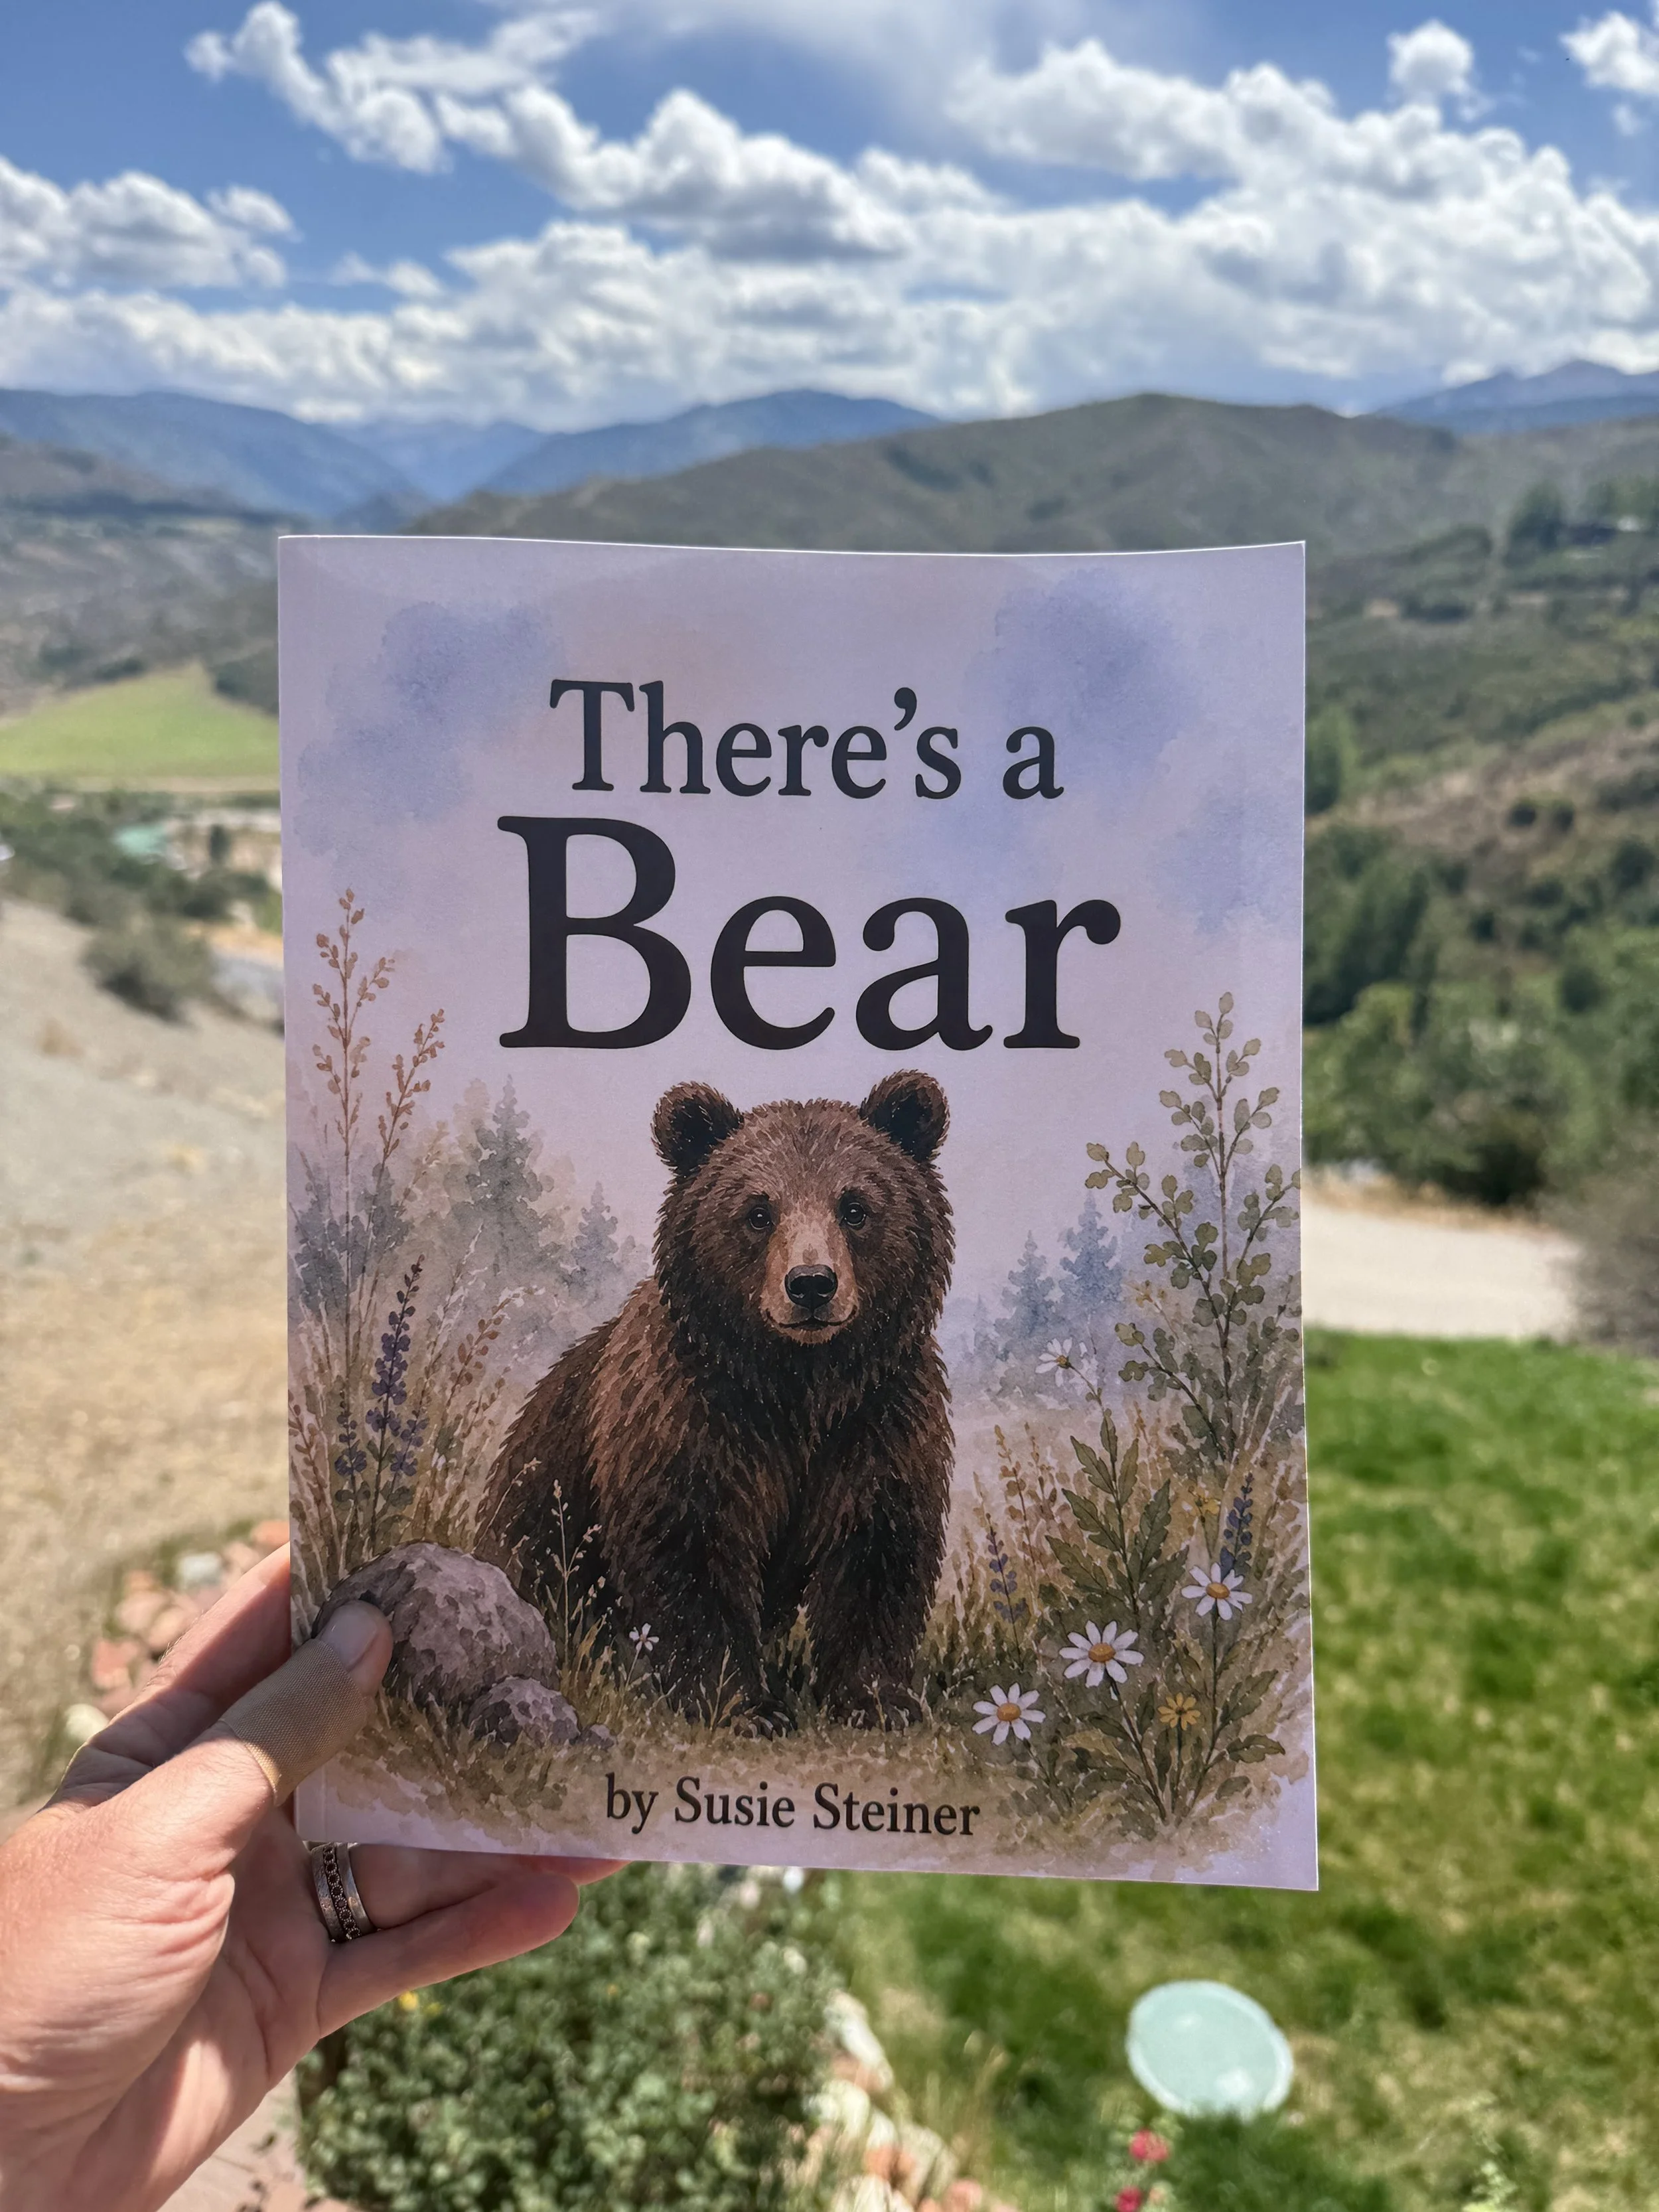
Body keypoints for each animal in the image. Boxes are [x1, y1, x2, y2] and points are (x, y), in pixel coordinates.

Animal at [473, 1068, 954, 1730]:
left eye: (855, 1207)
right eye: (758, 1211)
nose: (811, 1284)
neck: (801, 1383)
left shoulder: (881, 1417)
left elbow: (878, 1552)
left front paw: (877, 1699)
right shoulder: (692, 1415)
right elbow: (693, 1553)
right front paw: (745, 1704)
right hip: (532, 1520)